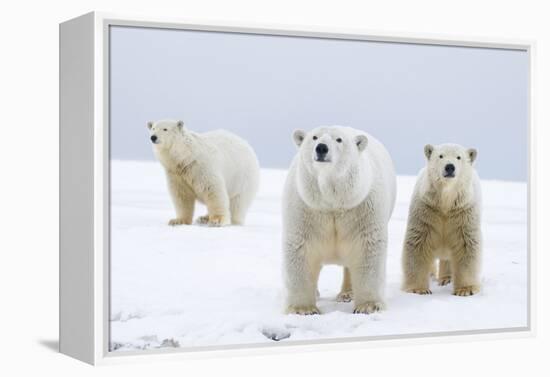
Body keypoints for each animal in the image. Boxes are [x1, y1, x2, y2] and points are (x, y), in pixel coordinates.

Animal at [284, 125, 396, 312]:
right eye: (314, 137)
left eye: (339, 139)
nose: (321, 148)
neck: (332, 203)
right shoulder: (306, 207)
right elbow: (302, 248)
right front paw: (304, 309)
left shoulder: (361, 206)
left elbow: (366, 247)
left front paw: (368, 306)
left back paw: (347, 294)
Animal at [402, 142, 484, 296]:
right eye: (440, 156)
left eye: (459, 157)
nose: (449, 167)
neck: (445, 203)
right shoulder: (427, 210)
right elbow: (419, 245)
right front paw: (419, 289)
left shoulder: (463, 213)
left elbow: (465, 245)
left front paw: (465, 290)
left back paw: (446, 279)